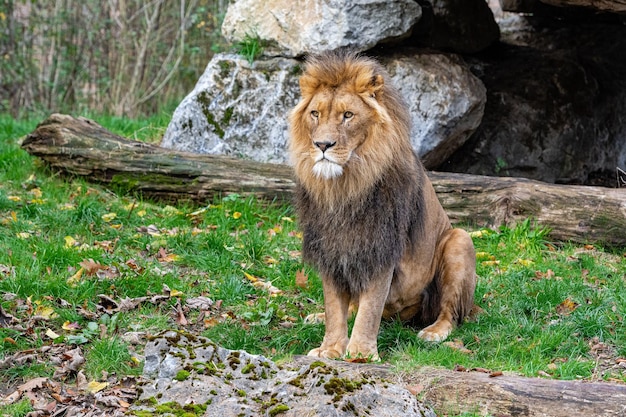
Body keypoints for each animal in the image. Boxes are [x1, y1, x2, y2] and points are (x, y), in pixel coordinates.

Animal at [288, 50, 478, 360]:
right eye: (315, 113)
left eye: (348, 115)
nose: (322, 145)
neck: (344, 188)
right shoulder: (331, 249)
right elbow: (334, 306)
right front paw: (330, 349)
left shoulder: (379, 248)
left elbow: (370, 309)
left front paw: (361, 355)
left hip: (459, 240)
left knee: (451, 313)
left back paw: (433, 333)